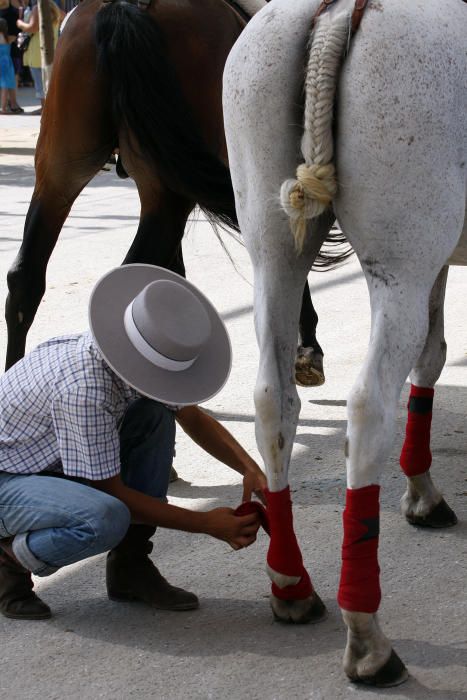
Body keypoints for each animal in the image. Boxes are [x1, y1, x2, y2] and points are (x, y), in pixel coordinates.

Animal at [225, 0, 466, 688]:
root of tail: (338, 10)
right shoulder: (427, 264)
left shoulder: (440, 265)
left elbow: (433, 356)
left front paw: (421, 488)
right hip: (400, 265)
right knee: (368, 409)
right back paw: (368, 638)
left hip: (273, 254)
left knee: (273, 400)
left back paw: (292, 585)